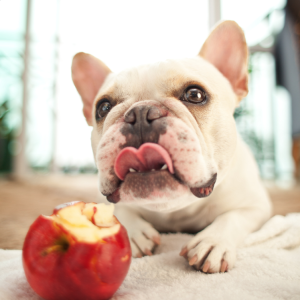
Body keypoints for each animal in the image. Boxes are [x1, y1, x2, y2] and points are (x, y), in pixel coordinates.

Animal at [72, 20, 272, 274]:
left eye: (195, 94)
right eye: (103, 107)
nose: (140, 113)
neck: (175, 210)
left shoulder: (255, 206)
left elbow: (233, 218)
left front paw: (213, 241)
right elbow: (116, 208)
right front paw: (132, 233)